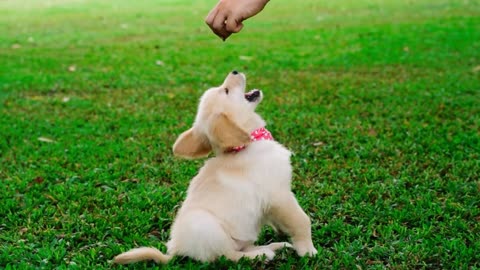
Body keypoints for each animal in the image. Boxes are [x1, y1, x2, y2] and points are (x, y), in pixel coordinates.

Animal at [112, 70, 316, 264]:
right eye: (226, 90)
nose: (235, 71)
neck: (247, 144)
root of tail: (175, 250)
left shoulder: (272, 203)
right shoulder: (280, 196)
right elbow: (302, 221)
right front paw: (308, 250)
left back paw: (274, 246)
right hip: (208, 227)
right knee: (228, 256)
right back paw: (262, 254)